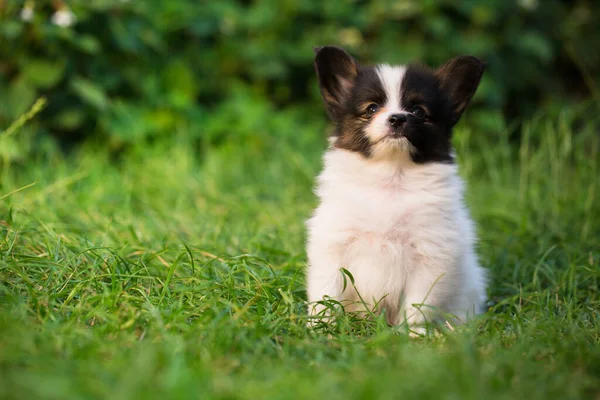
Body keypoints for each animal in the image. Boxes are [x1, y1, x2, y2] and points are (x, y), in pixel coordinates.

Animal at [308, 46, 486, 334]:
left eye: (418, 111)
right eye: (371, 109)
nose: (397, 118)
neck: (391, 176)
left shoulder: (431, 253)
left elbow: (418, 303)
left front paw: (413, 334)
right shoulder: (333, 243)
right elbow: (327, 291)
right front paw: (321, 326)